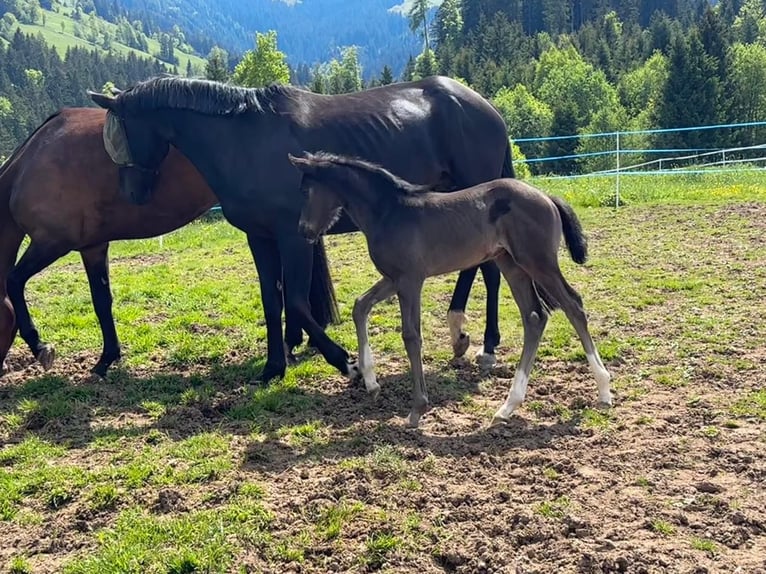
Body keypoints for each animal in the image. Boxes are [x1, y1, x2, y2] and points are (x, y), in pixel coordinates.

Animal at [0, 107, 338, 377]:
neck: (32, 162)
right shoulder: (92, 248)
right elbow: (101, 302)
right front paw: (107, 359)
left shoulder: (52, 242)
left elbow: (14, 281)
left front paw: (41, 346)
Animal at [88, 75, 517, 383]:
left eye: (119, 134)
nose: (132, 193)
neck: (243, 141)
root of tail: (485, 107)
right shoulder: (260, 238)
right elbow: (271, 299)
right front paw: (273, 367)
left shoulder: (294, 237)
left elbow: (295, 299)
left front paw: (346, 363)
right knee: (475, 266)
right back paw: (459, 333)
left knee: (490, 271)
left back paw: (486, 346)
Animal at [289, 151, 613, 429]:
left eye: (305, 190)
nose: (303, 231)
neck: (389, 212)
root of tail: (546, 196)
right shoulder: (394, 278)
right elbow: (360, 305)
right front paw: (370, 380)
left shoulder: (410, 280)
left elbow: (411, 336)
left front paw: (417, 409)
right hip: (511, 264)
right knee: (535, 317)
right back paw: (507, 407)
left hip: (538, 262)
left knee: (573, 305)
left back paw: (604, 389)